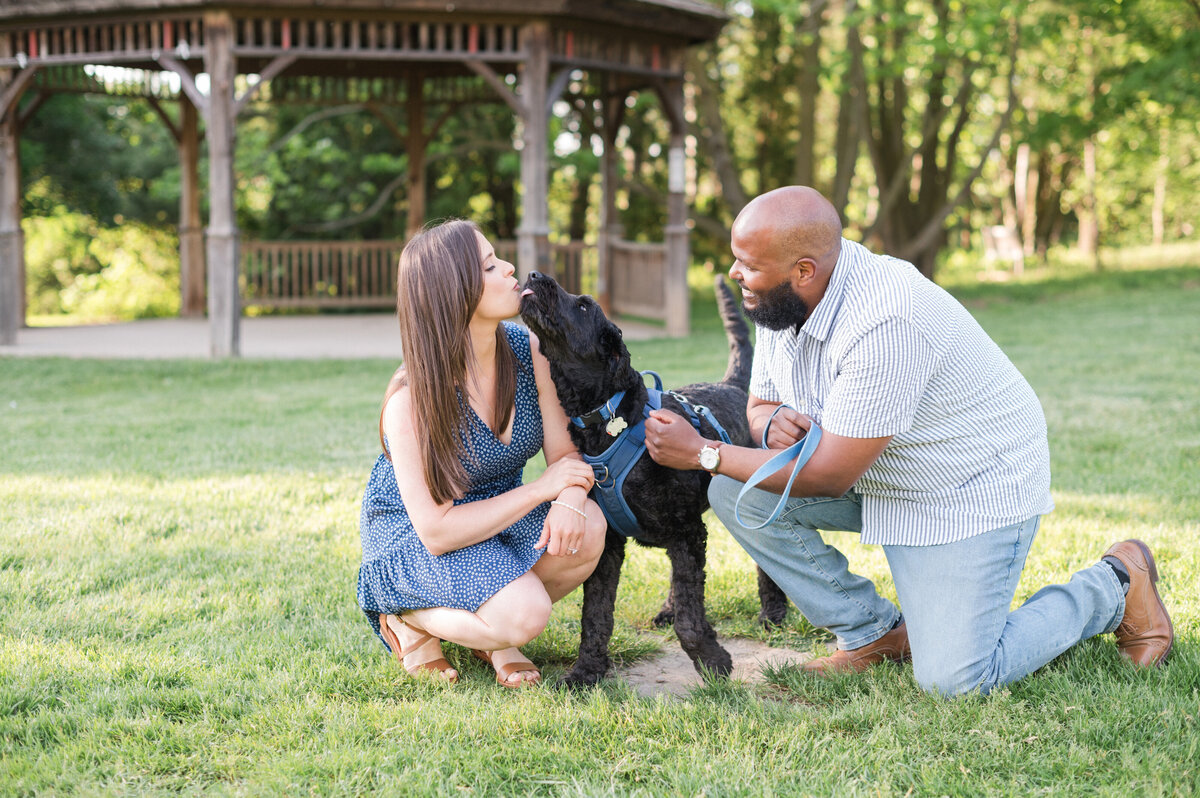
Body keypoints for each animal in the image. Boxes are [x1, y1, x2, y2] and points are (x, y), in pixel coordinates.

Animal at [523, 272, 787, 686]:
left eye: (583, 305)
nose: (535, 275)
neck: (612, 419)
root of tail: (730, 385)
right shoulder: (611, 545)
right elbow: (595, 616)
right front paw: (586, 672)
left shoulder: (687, 531)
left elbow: (690, 621)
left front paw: (714, 662)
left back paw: (773, 614)